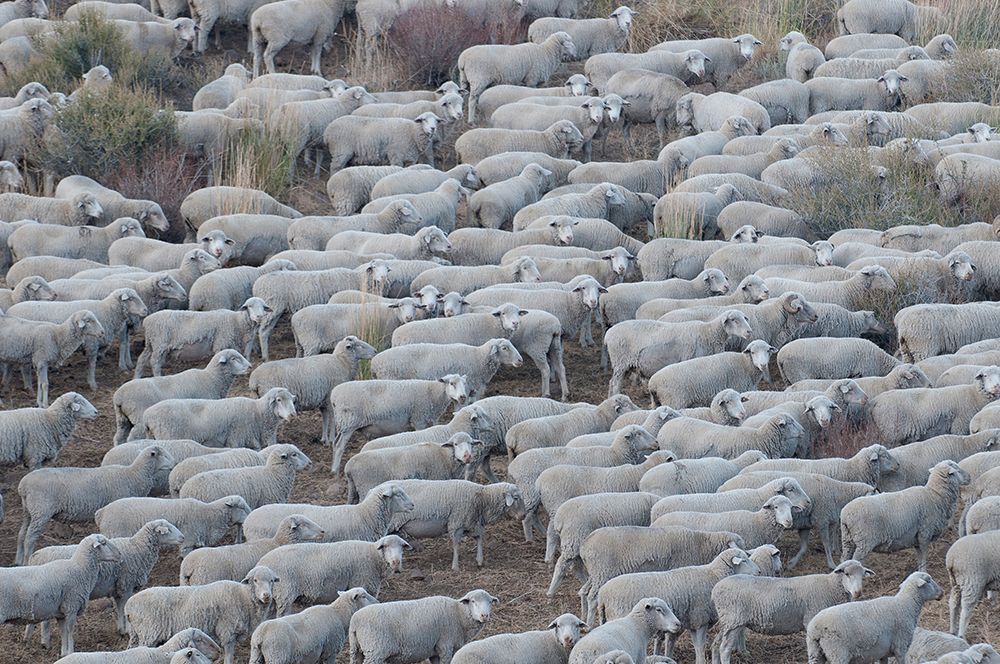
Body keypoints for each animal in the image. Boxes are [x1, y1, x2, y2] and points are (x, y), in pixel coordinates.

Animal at [15, 445, 174, 564]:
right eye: (164, 455)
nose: (174, 464)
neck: (133, 474)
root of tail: (23, 486)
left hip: (29, 511)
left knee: (21, 534)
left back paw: (18, 560)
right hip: (41, 511)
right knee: (29, 538)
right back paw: (26, 561)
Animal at [710, 559, 875, 664]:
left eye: (862, 575)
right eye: (846, 574)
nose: (858, 593)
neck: (830, 586)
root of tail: (715, 589)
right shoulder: (811, 621)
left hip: (728, 621)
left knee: (715, 644)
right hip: (733, 620)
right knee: (724, 649)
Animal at [806, 571, 943, 664]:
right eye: (929, 581)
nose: (942, 593)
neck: (906, 605)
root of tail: (815, 629)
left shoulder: (884, 653)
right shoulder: (901, 647)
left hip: (815, 653)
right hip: (837, 652)